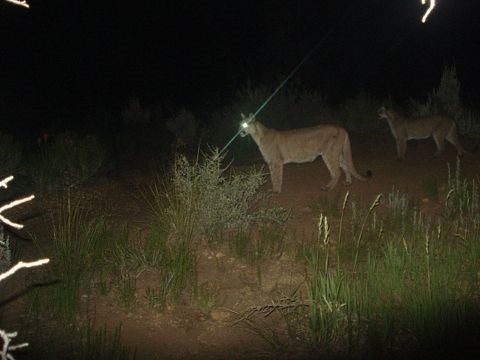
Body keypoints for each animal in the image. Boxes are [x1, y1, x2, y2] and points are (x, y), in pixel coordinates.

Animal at [240, 114, 372, 193]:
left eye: (245, 124)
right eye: (240, 124)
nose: (240, 131)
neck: (258, 136)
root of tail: (342, 128)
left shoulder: (276, 162)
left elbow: (276, 176)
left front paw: (276, 190)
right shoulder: (271, 162)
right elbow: (273, 176)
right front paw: (274, 189)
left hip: (329, 153)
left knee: (336, 171)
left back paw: (328, 187)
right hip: (336, 153)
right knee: (345, 166)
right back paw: (348, 182)